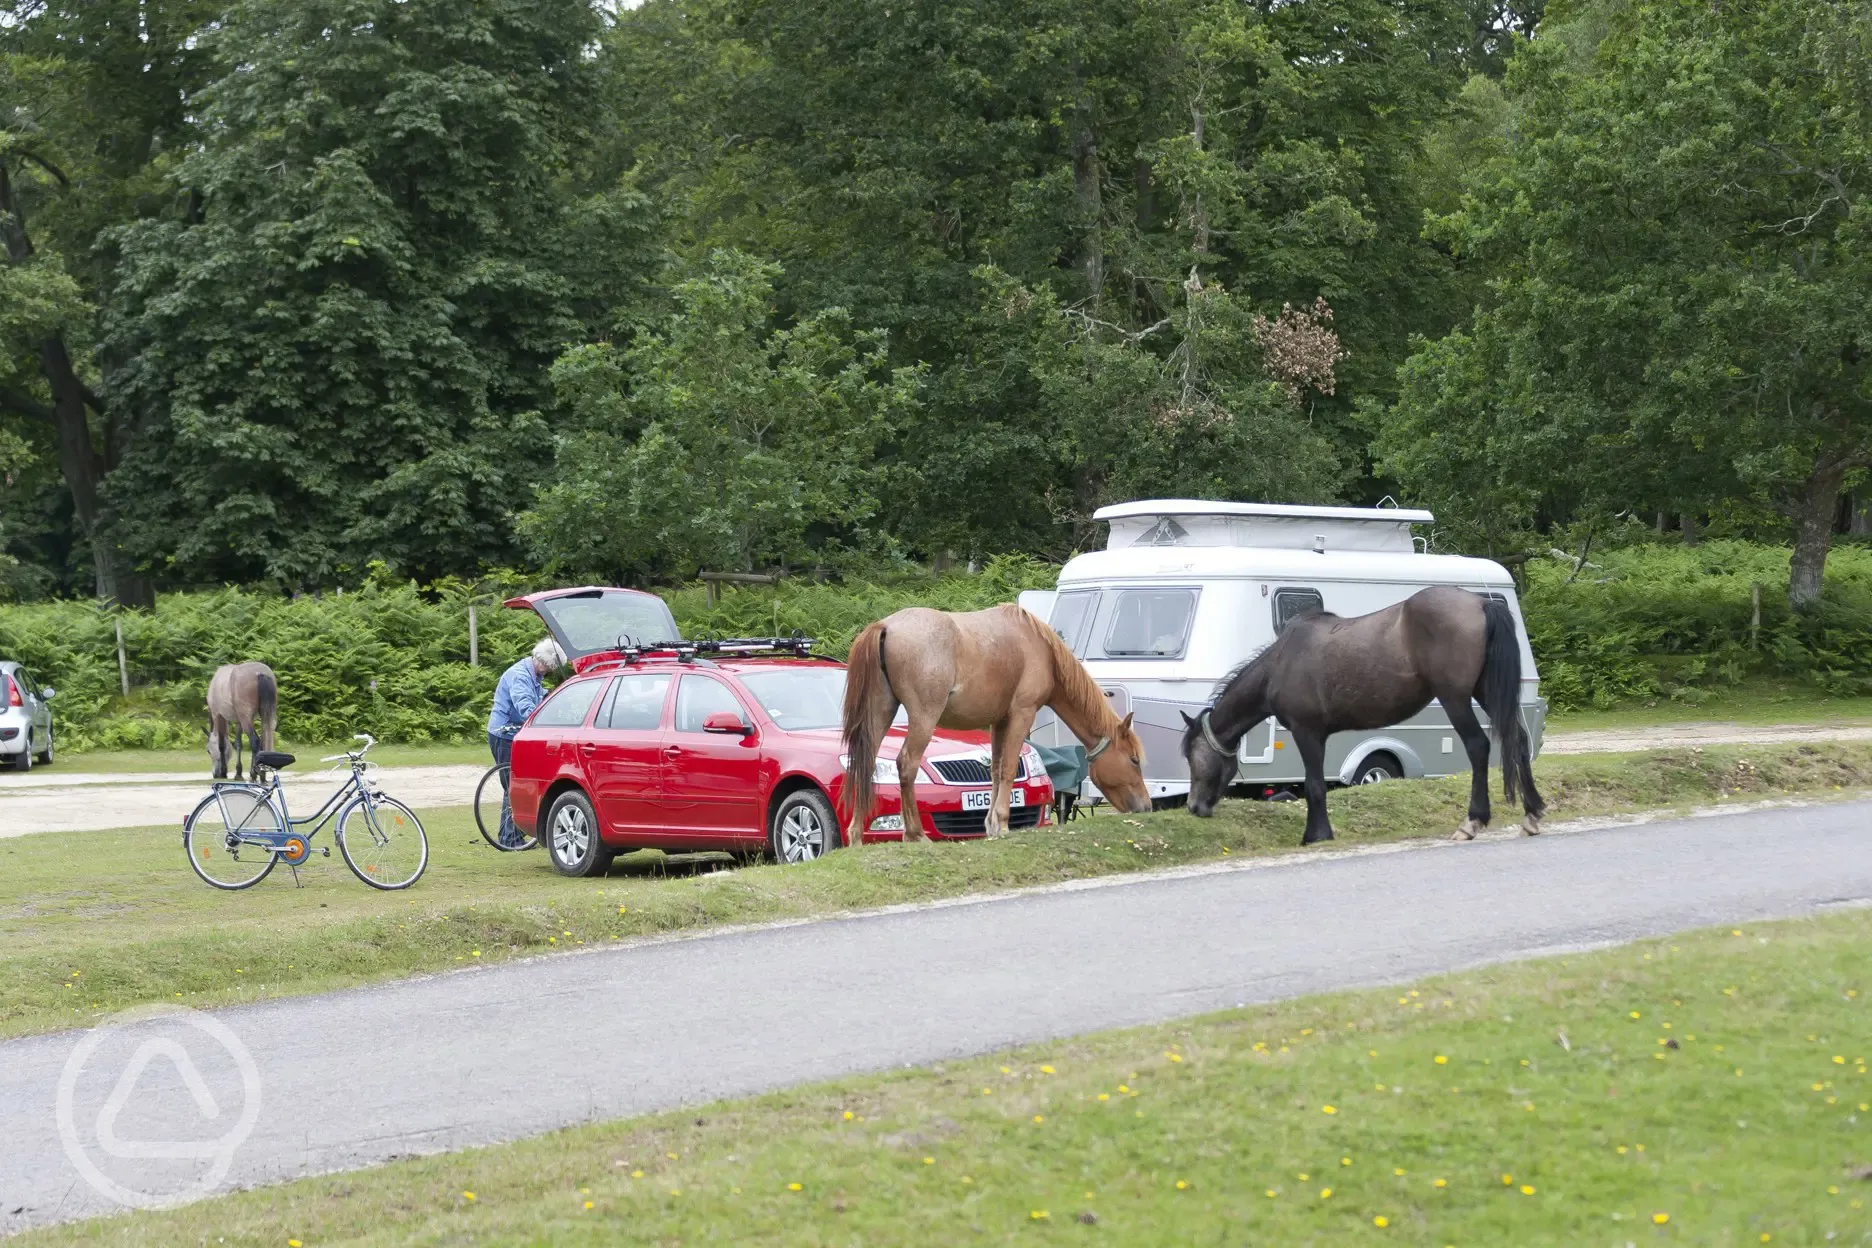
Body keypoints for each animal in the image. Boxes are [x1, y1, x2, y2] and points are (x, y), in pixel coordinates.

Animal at [842, 602, 1145, 845]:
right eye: (1134, 760)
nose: (1145, 806)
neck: (1041, 649)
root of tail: (885, 626)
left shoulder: (999, 722)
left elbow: (996, 769)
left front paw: (991, 824)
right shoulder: (1022, 714)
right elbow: (1009, 768)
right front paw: (1002, 823)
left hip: (880, 712)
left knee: (864, 764)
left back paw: (856, 836)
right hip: (923, 717)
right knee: (907, 763)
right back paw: (915, 834)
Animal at [1183, 587, 1535, 845]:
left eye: (1190, 755)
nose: (1194, 807)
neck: (1280, 664)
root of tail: (1481, 603)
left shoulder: (1306, 732)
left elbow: (1313, 784)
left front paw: (1316, 835)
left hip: (1456, 699)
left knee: (1478, 746)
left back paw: (1472, 822)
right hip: (1487, 692)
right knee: (1517, 740)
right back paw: (1532, 814)